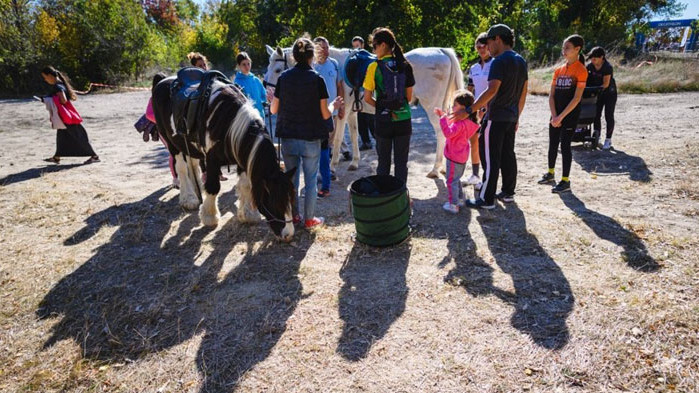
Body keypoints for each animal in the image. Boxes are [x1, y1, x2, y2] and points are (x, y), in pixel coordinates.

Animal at [153, 74, 296, 239]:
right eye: (274, 201)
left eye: (290, 199)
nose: (288, 234)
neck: (229, 122)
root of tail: (162, 80)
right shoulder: (212, 159)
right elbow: (213, 187)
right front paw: (209, 216)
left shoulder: (242, 157)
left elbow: (246, 185)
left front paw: (247, 214)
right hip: (172, 144)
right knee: (181, 168)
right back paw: (189, 198)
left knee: (192, 165)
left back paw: (196, 189)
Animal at [264, 44, 464, 176]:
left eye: (278, 69)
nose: (268, 92)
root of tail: (441, 51)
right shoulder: (352, 112)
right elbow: (353, 135)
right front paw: (354, 162)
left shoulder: (342, 111)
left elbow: (337, 138)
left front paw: (332, 166)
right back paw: (443, 167)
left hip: (431, 106)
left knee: (441, 133)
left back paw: (434, 169)